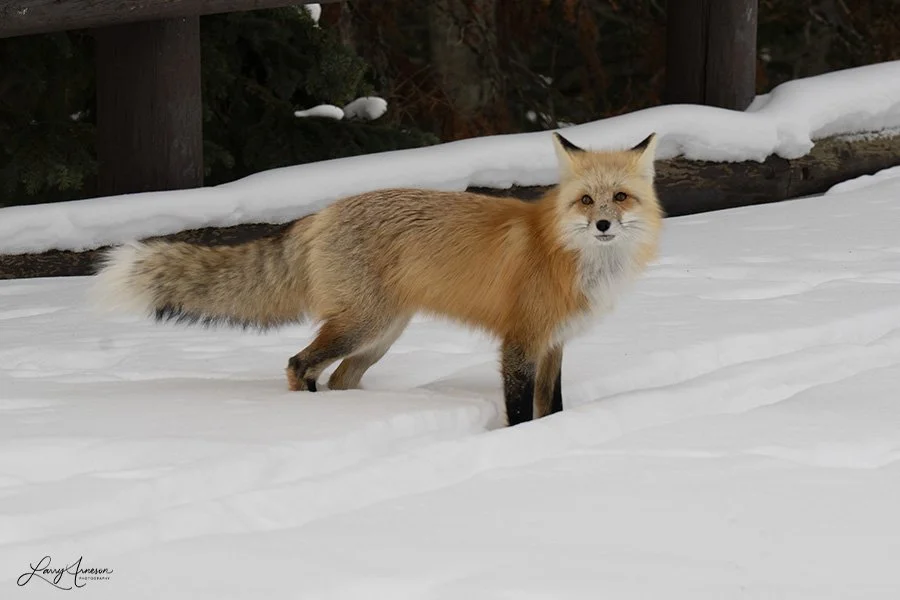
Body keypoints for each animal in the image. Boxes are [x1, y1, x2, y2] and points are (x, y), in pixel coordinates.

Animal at [94, 132, 663, 425]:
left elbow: (554, 406)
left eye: (620, 197)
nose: (604, 225)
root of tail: (321, 213)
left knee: (339, 377)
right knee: (298, 364)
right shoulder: (520, 341)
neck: (567, 253)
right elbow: (522, 412)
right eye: (586, 200)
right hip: (363, 326)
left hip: (380, 336)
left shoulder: (554, 344)